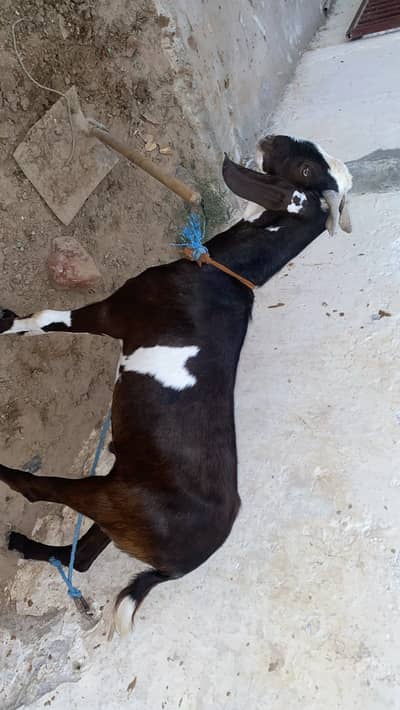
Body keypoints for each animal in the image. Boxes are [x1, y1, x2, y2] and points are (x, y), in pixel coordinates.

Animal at [0, 135, 352, 635]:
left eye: (304, 169)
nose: (269, 140)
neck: (225, 270)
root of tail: (179, 568)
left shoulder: (115, 313)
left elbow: (46, 320)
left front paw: (3, 322)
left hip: (109, 495)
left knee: (38, 489)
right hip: (122, 497)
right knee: (83, 557)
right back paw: (24, 545)